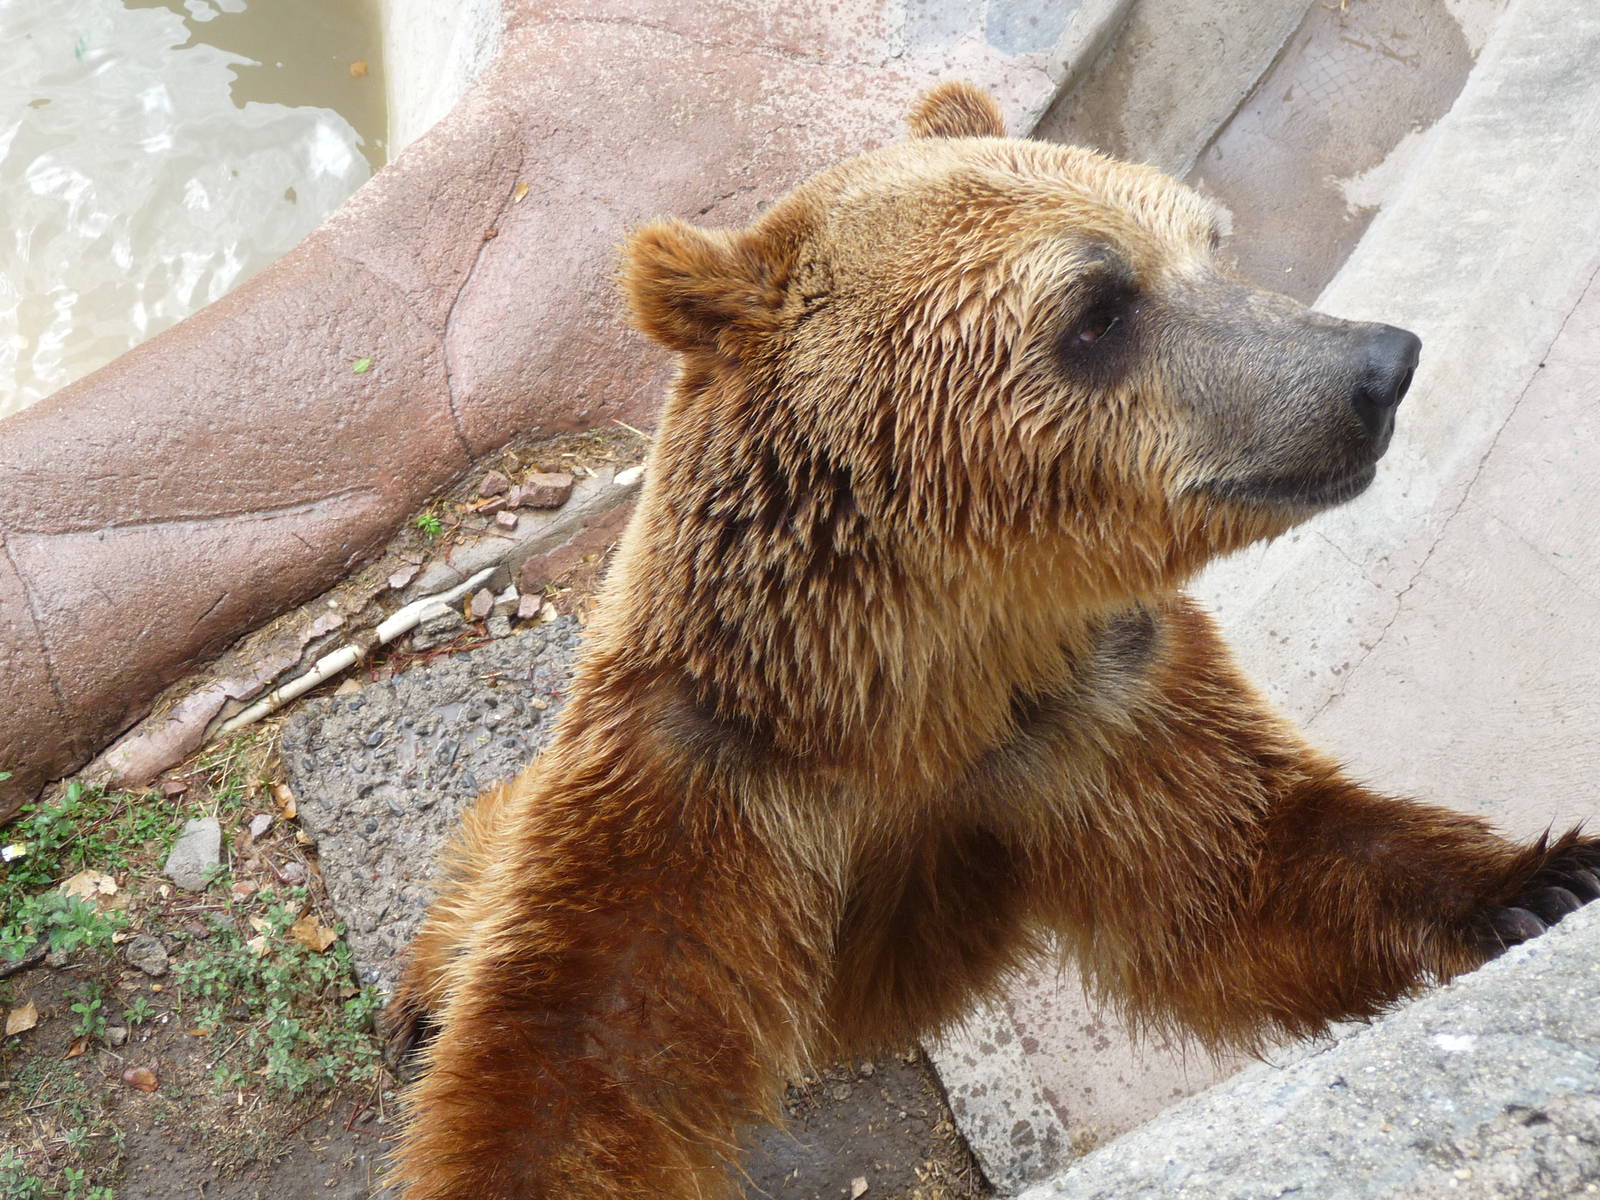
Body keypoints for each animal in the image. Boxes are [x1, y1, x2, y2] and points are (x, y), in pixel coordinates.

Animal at [383, 81, 1600, 1199]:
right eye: (1098, 309)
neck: (915, 680)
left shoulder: (1084, 711)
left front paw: (1541, 881)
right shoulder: (706, 774)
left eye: (1207, 241)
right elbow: (580, 1053)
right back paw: (421, 993)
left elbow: (1249, 866)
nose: (1378, 367)